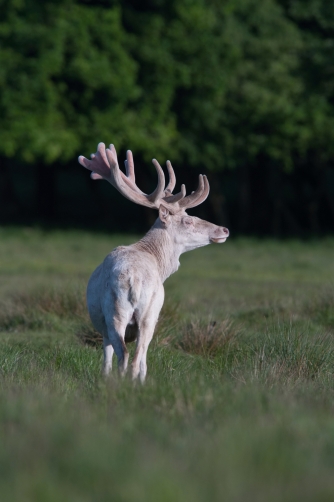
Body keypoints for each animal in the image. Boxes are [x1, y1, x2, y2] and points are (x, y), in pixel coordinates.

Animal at [78, 143, 230, 382]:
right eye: (188, 220)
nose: (224, 229)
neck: (159, 262)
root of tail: (134, 279)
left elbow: (108, 357)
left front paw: (105, 378)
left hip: (121, 313)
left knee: (127, 354)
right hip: (147, 313)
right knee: (135, 355)